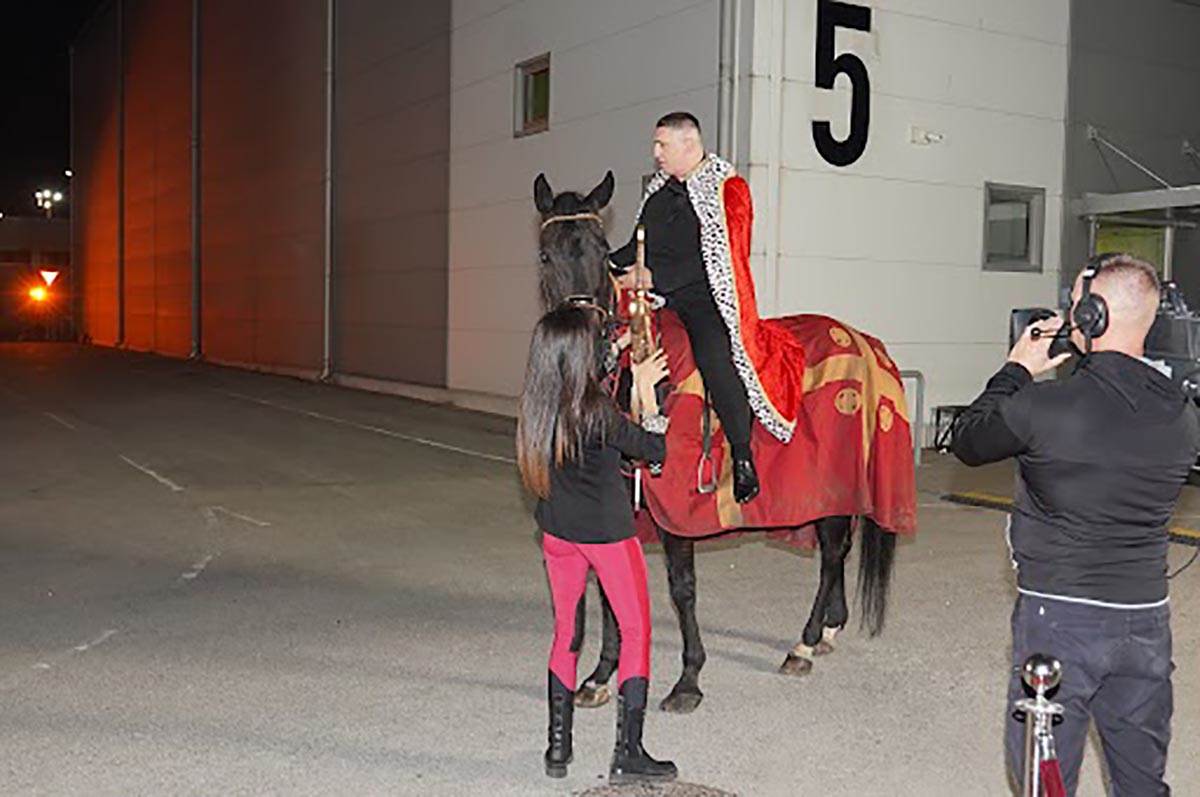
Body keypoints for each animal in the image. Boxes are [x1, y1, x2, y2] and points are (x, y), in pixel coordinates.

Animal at [537, 171, 902, 710]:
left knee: (833, 553)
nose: (592, 340)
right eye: (546, 255)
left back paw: (804, 644)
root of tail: (864, 342)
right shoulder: (619, 503)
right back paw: (829, 631)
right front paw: (600, 677)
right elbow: (607, 588)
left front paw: (688, 679)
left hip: (836, 484)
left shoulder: (675, 512)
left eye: (602, 250)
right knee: (833, 552)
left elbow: (682, 588)